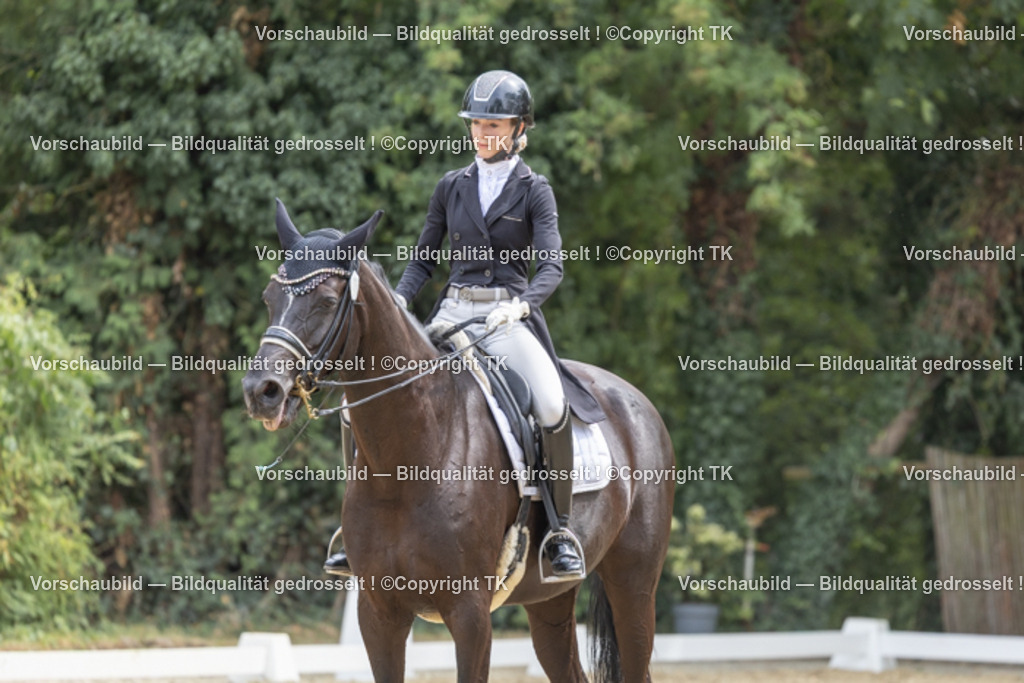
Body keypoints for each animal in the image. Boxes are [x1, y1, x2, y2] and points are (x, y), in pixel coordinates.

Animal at [242, 201, 675, 683]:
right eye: (269, 298)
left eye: (326, 301)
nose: (262, 392)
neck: (410, 459)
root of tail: (636, 399)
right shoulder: (379, 614)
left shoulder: (470, 615)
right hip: (548, 599)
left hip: (634, 586)